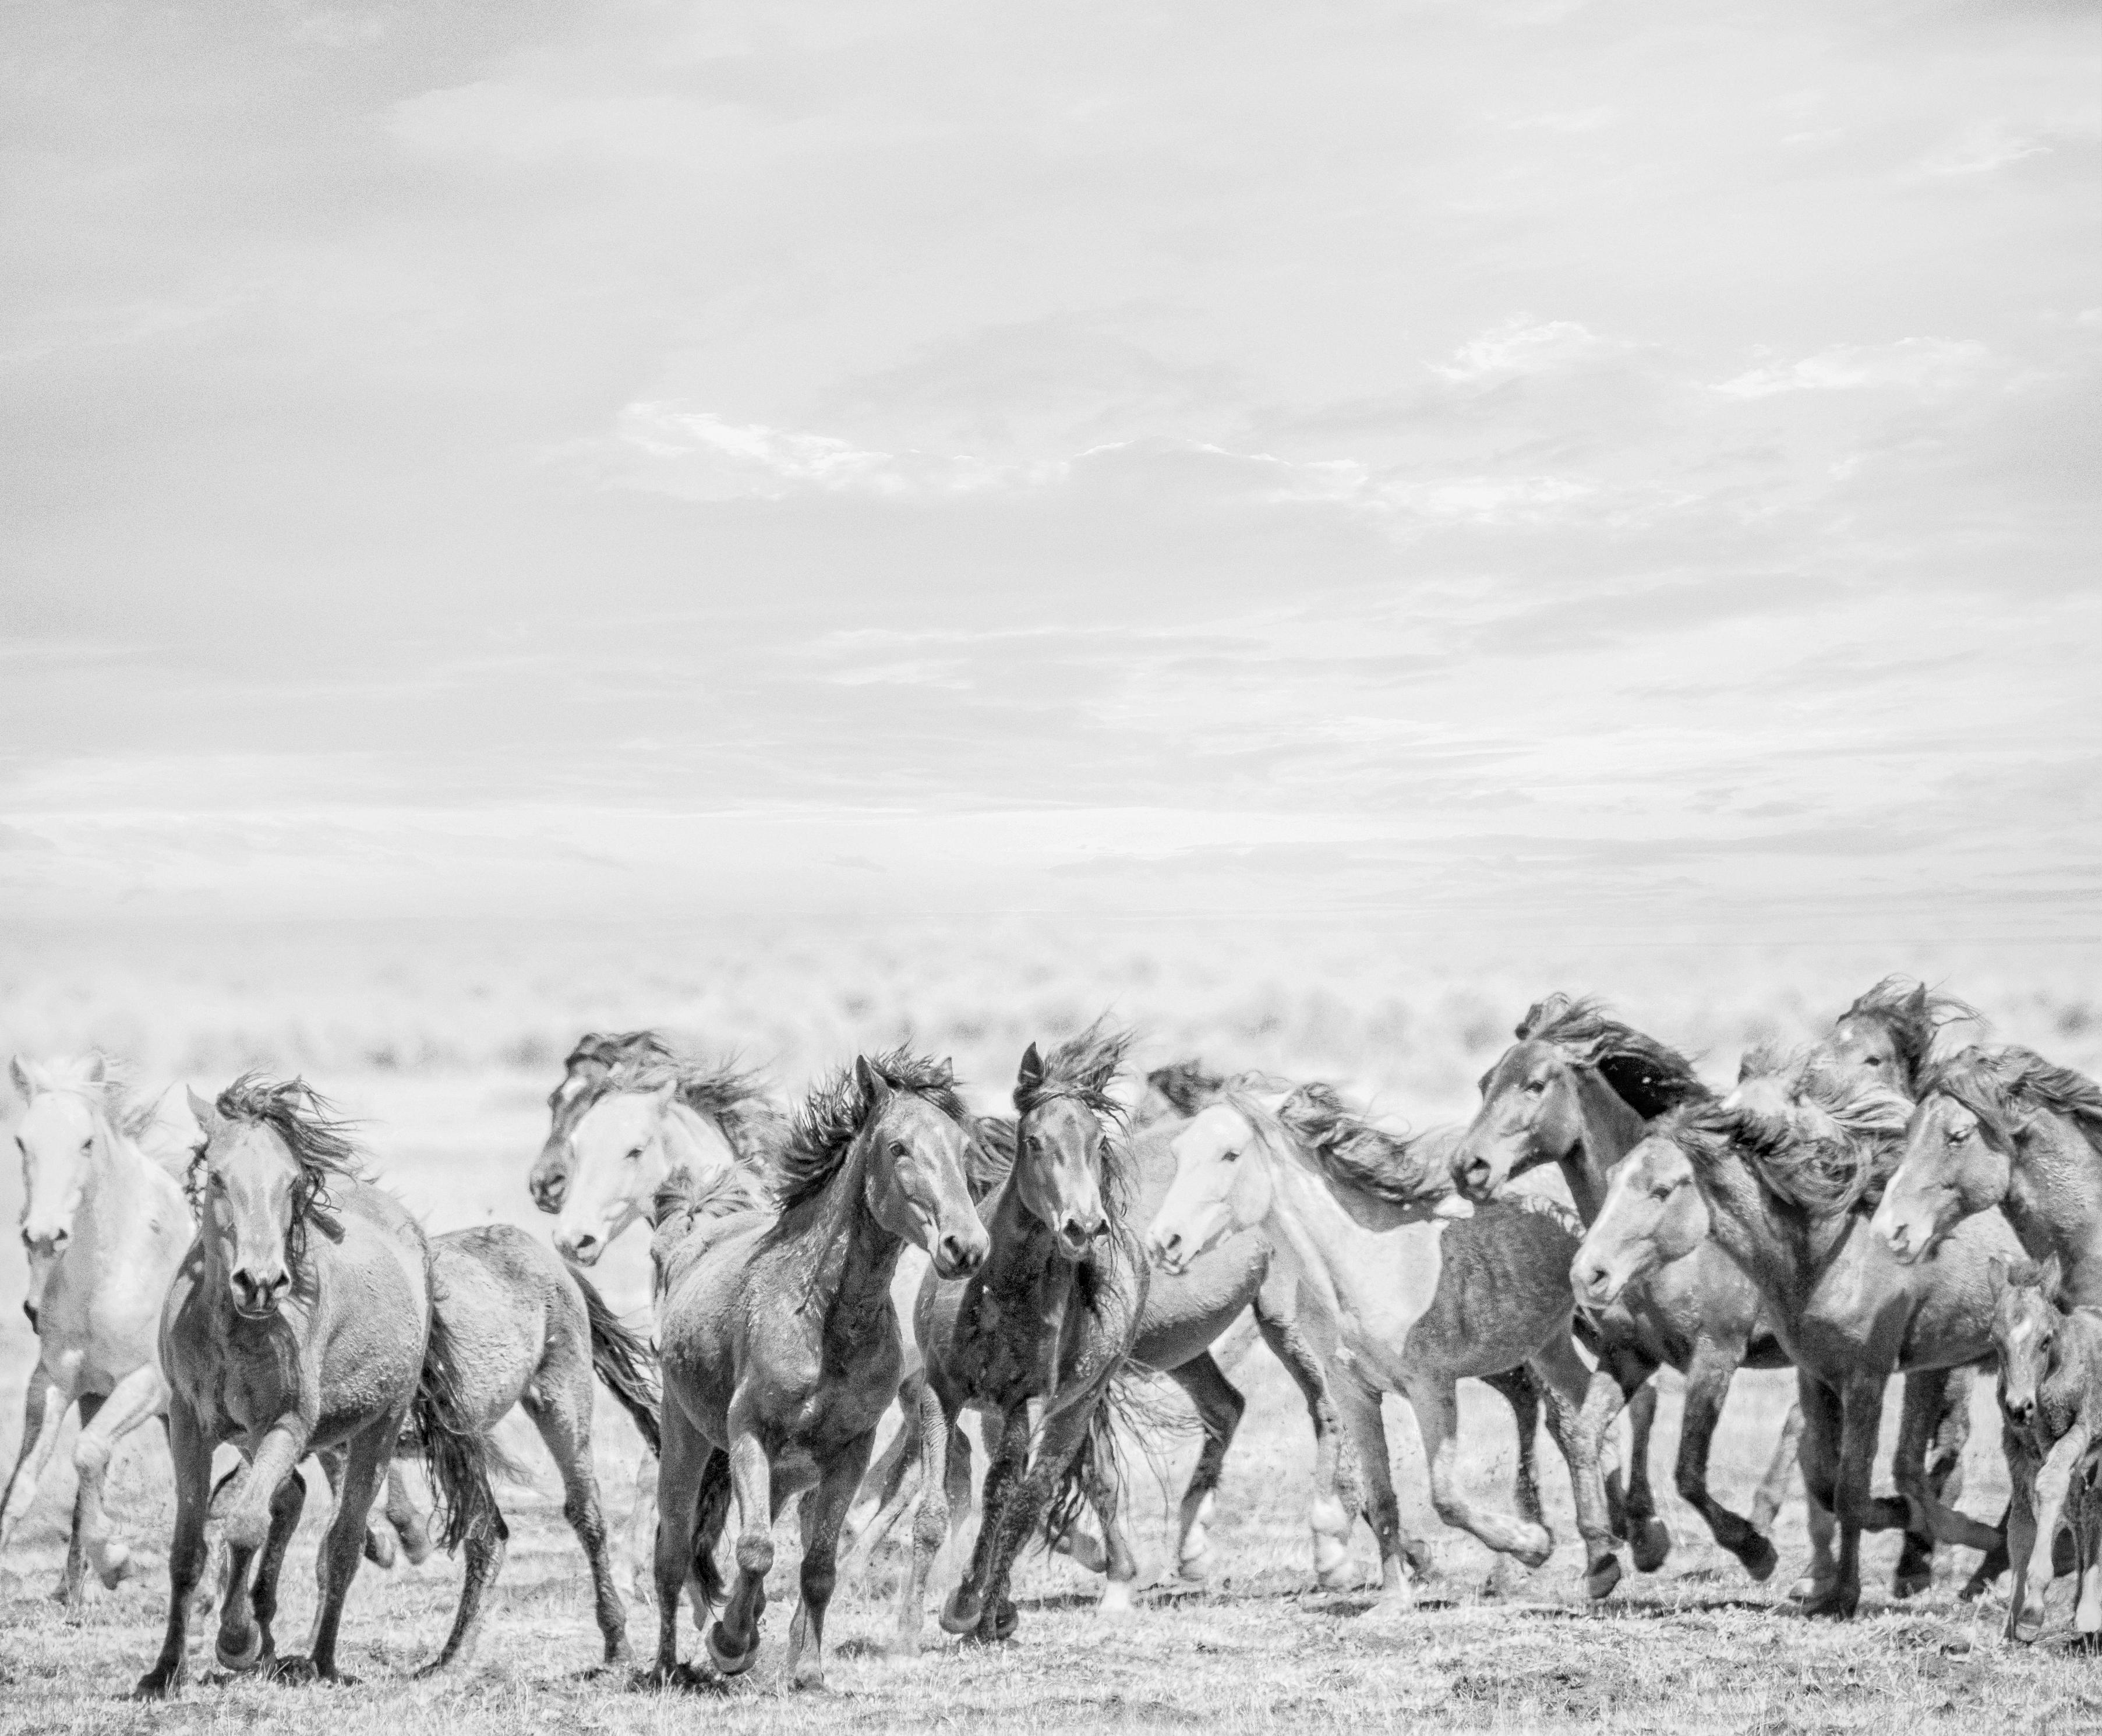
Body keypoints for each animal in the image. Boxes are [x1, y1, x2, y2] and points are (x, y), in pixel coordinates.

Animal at [134, 1067, 496, 1689]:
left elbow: (246, 1524)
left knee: (343, 1544)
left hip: (377, 1427)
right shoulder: (189, 1425)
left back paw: (317, 1660)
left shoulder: (287, 1426)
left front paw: (235, 1642)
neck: (232, 1327)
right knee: (293, 1500)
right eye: (219, 1176)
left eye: (292, 1182)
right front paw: (165, 1670)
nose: (260, 1281)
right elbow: (187, 1547)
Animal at [651, 1046, 988, 1681]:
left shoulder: (848, 1451)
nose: (966, 1246)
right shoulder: (749, 1433)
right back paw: (667, 1665)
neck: (828, 1317)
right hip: (685, 1438)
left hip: (783, 1472)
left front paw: (805, 1667)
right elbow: (755, 1549)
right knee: (673, 1552)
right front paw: (729, 1643)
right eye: (898, 1147)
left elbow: (819, 1564)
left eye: (963, 1149)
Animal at [1143, 1084, 1614, 1597]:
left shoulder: (1430, 1388)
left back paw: (1594, 1559)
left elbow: (1445, 1496)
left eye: (1229, 1154)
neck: (1362, 1264)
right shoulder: (1355, 1392)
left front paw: (1533, 1544)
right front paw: (1392, 1596)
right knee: (1579, 1412)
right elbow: (1384, 1495)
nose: (1164, 1242)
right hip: (1546, 1347)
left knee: (1574, 1424)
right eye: (1176, 1153)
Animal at [1572, 1046, 2009, 1614]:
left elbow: (1842, 1486)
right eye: (1612, 1177)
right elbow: (1825, 1481)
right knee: (1929, 1462)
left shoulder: (1847, 1374)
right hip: (1939, 1369)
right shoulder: (1811, 1375)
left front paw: (1786, 1564)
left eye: (1662, 1189)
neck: (1832, 1248)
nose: (1587, 1274)